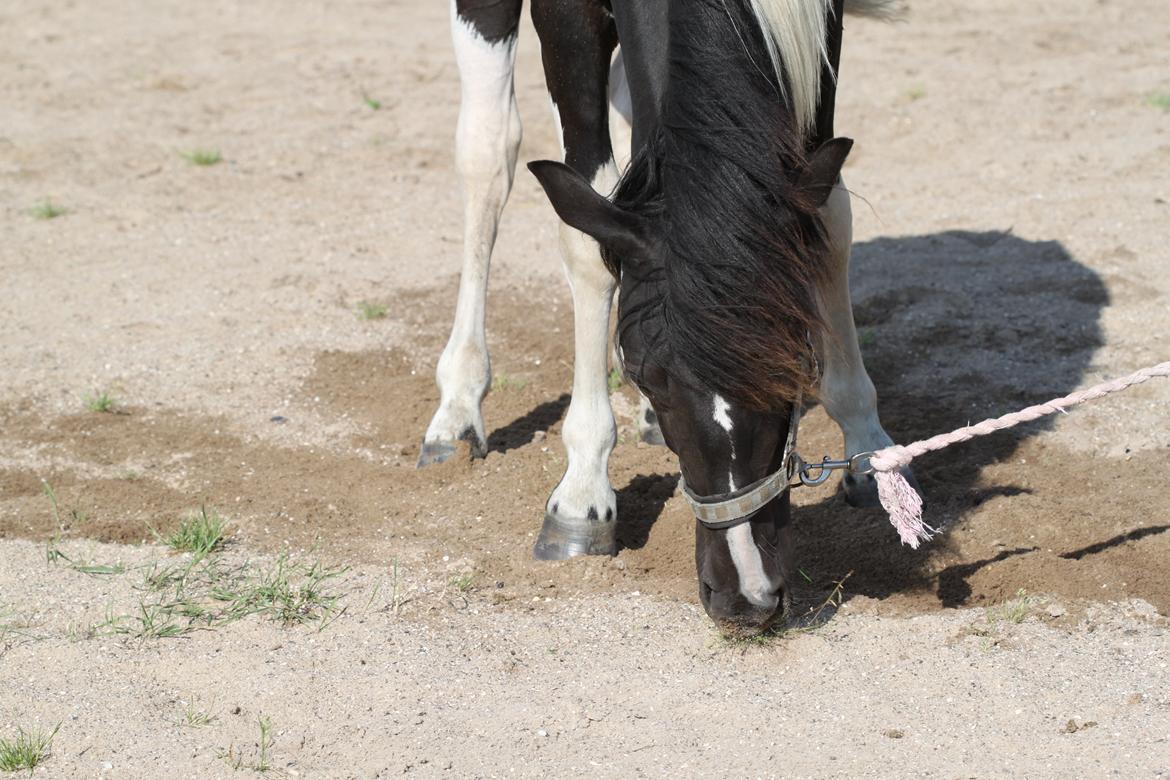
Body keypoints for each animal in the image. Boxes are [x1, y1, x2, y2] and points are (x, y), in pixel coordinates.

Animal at [421, 0, 912, 636]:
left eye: (797, 367)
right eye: (643, 375)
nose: (747, 596)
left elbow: (826, 215)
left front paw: (870, 448)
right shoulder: (566, 19)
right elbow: (589, 232)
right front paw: (582, 491)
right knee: (488, 149)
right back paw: (458, 406)